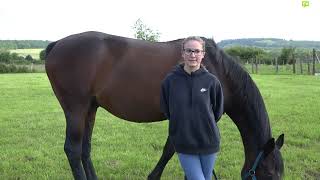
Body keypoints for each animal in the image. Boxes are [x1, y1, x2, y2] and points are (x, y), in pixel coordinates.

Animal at [45, 31, 284, 179]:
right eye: (269, 173)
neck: (217, 71)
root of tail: (56, 45)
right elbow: (173, 149)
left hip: (90, 109)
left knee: (85, 149)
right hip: (75, 109)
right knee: (73, 149)